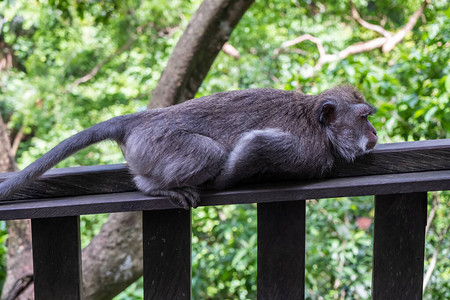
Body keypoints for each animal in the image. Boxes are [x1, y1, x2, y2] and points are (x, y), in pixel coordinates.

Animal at [0, 85, 376, 209]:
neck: (318, 124)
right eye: (363, 117)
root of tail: (140, 120)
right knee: (209, 153)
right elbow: (254, 144)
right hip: (157, 145)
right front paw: (223, 182)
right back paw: (155, 188)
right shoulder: (308, 150)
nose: (374, 134)